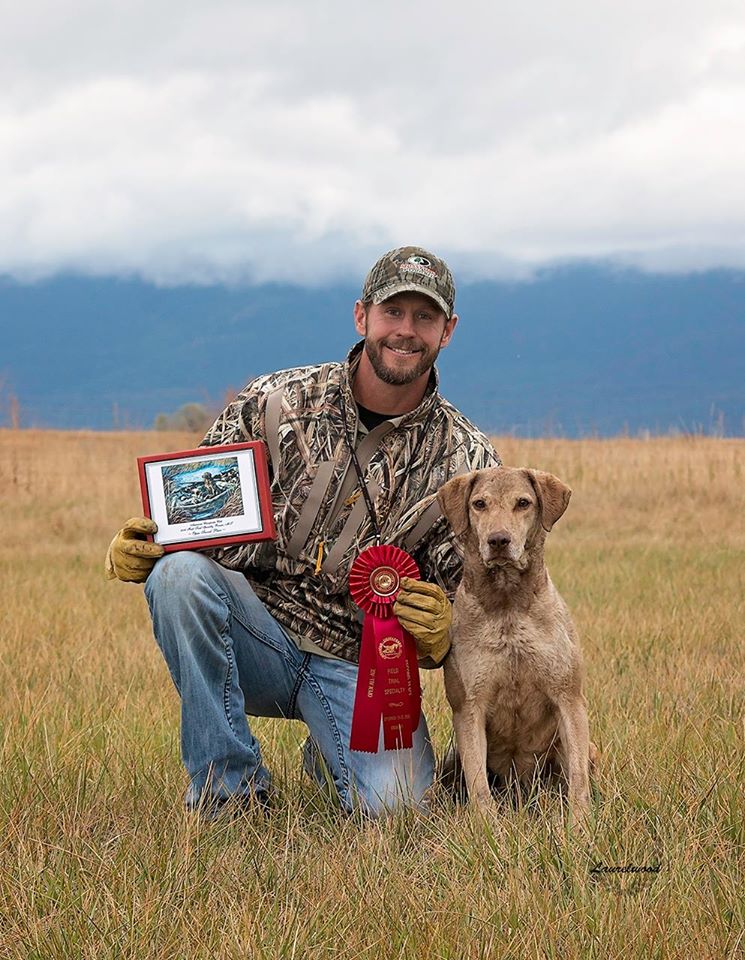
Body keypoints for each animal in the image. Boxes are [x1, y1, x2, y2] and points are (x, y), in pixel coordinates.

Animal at [437, 466, 593, 816]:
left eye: (523, 503)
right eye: (479, 504)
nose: (498, 540)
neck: (507, 604)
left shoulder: (569, 698)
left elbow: (578, 779)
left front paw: (580, 824)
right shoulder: (469, 708)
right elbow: (479, 786)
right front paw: (487, 826)